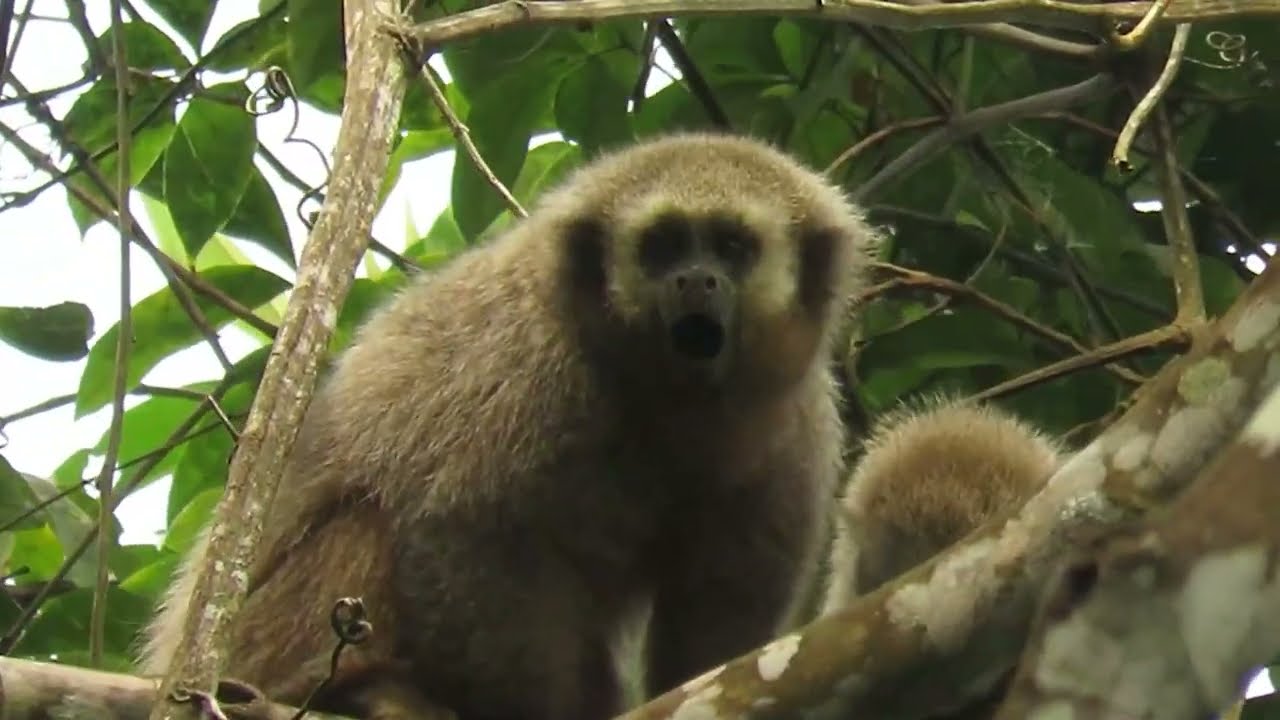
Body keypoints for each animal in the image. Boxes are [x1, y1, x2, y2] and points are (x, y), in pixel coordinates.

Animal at [139, 132, 881, 720]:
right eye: (664, 246)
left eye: (731, 246)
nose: (695, 280)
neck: (663, 400)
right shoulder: (527, 369)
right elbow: (464, 534)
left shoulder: (801, 429)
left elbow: (722, 606)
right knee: (369, 521)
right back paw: (339, 689)